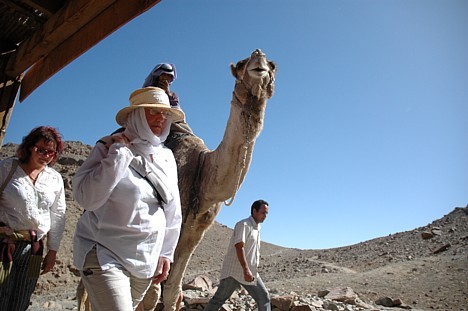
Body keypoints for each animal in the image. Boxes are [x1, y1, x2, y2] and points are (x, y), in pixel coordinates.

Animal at [77, 47, 276, 310]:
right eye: (243, 63)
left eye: (272, 65)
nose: (258, 56)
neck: (203, 171)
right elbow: (151, 296)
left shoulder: (194, 232)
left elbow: (172, 291)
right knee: (84, 287)